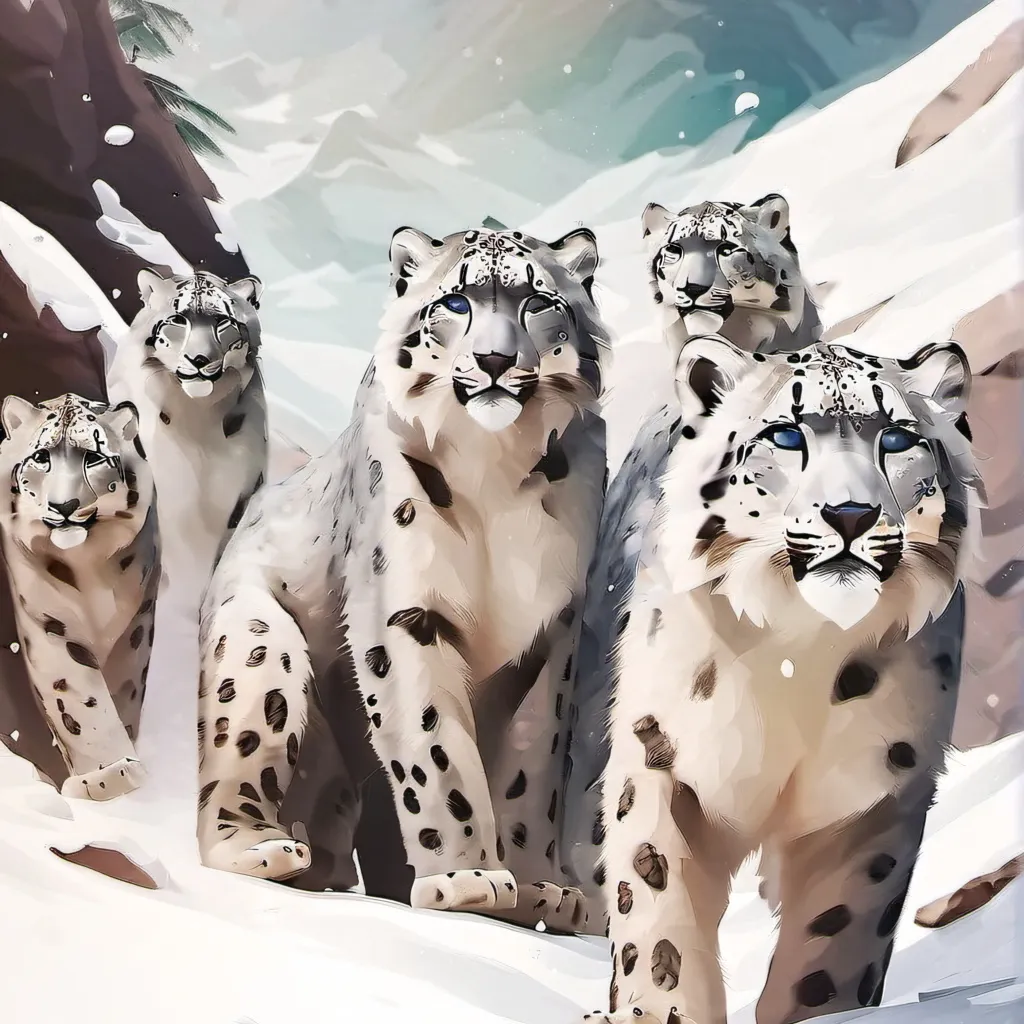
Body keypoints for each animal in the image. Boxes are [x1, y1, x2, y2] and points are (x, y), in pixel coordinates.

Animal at [0, 393, 160, 801]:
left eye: (94, 457)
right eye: (41, 456)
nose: (65, 506)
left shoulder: (137, 618)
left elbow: (125, 684)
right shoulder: (49, 623)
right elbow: (76, 695)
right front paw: (108, 775)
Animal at [195, 224, 610, 932]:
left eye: (537, 300)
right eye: (456, 303)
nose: (495, 361)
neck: (497, 466)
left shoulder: (551, 629)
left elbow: (534, 766)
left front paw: (541, 889)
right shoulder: (405, 609)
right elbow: (435, 744)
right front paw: (467, 878)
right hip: (256, 643)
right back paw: (267, 848)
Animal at [582, 335, 981, 1024]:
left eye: (897, 438)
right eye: (787, 435)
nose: (851, 513)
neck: (799, 657)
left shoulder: (871, 787)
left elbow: (836, 932)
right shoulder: (663, 749)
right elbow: (656, 902)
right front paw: (660, 1007)